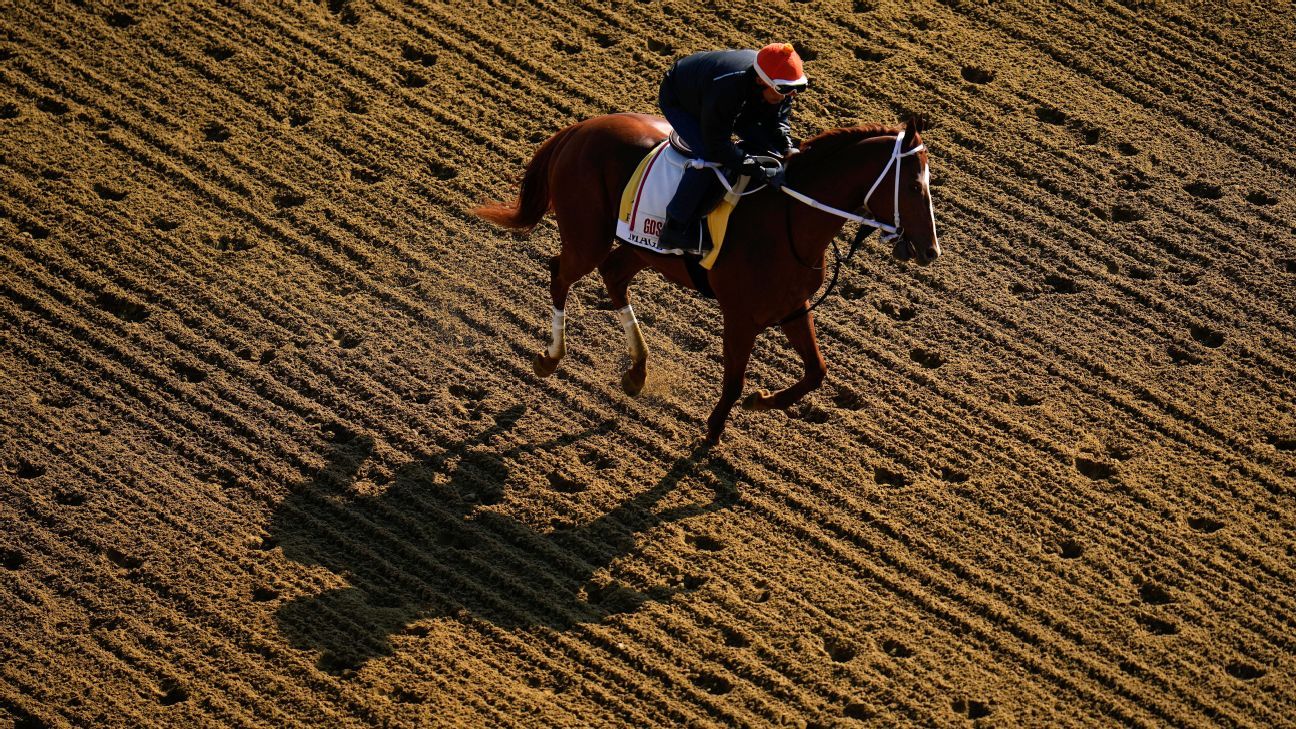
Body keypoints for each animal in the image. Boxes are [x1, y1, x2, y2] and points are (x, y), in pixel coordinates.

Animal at [471, 113, 938, 443]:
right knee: (560, 274)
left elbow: (816, 372)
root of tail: (580, 128)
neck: (789, 220)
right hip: (588, 236)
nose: (930, 250)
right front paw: (713, 431)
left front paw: (761, 401)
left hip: (640, 248)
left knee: (614, 276)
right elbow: (733, 380)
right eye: (915, 188)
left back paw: (637, 370)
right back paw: (551, 357)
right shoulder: (741, 317)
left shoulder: (792, 308)